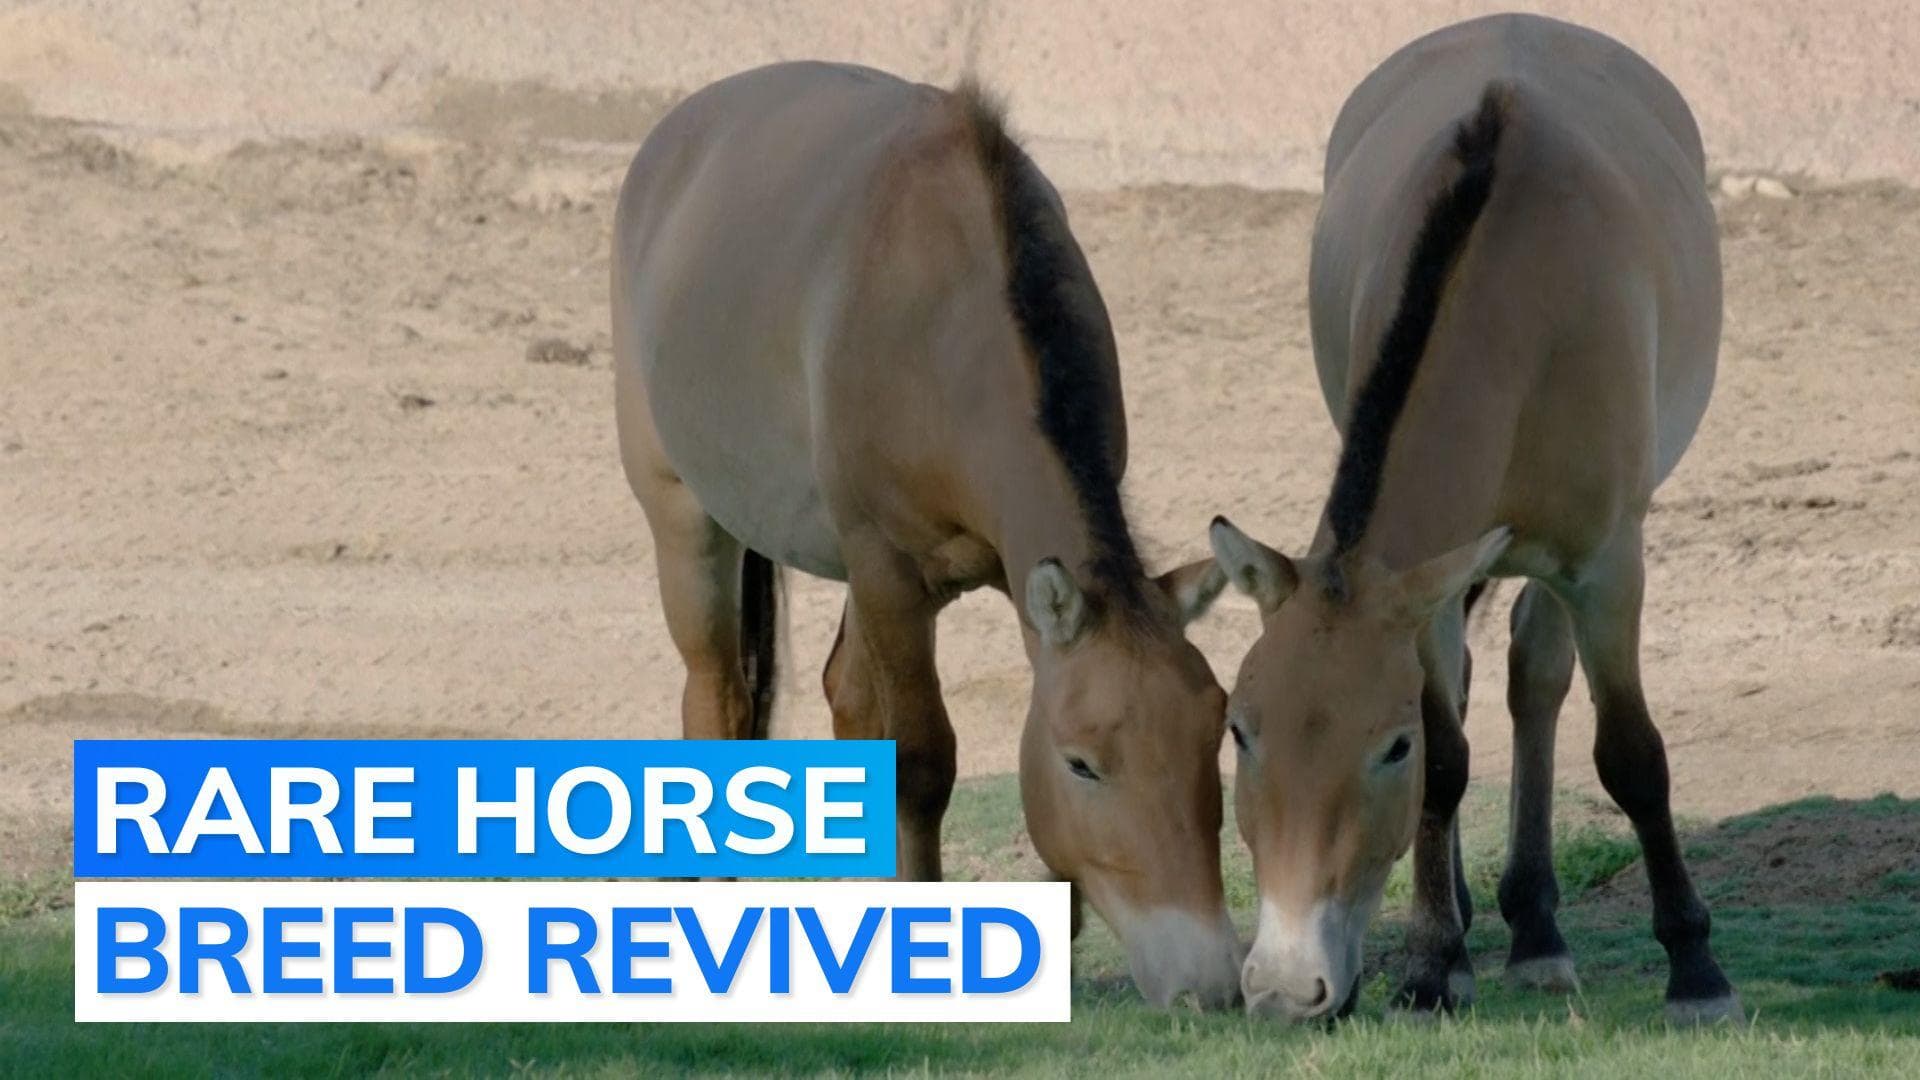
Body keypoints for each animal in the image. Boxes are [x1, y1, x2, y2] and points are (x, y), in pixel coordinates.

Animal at [612, 62, 1242, 1008]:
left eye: (1214, 736)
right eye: (1083, 763)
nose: (1210, 983)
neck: (944, 319)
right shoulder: (888, 570)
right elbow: (919, 759)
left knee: (840, 694)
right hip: (688, 526)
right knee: (715, 699)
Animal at [1206, 14, 1739, 1023]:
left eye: (1387, 748)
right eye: (1241, 732)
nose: (1289, 988)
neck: (1520, 296)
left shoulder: (1606, 565)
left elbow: (1631, 753)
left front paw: (1696, 969)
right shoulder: (1428, 581)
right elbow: (1450, 759)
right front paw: (1431, 963)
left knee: (1538, 677)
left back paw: (1538, 932)